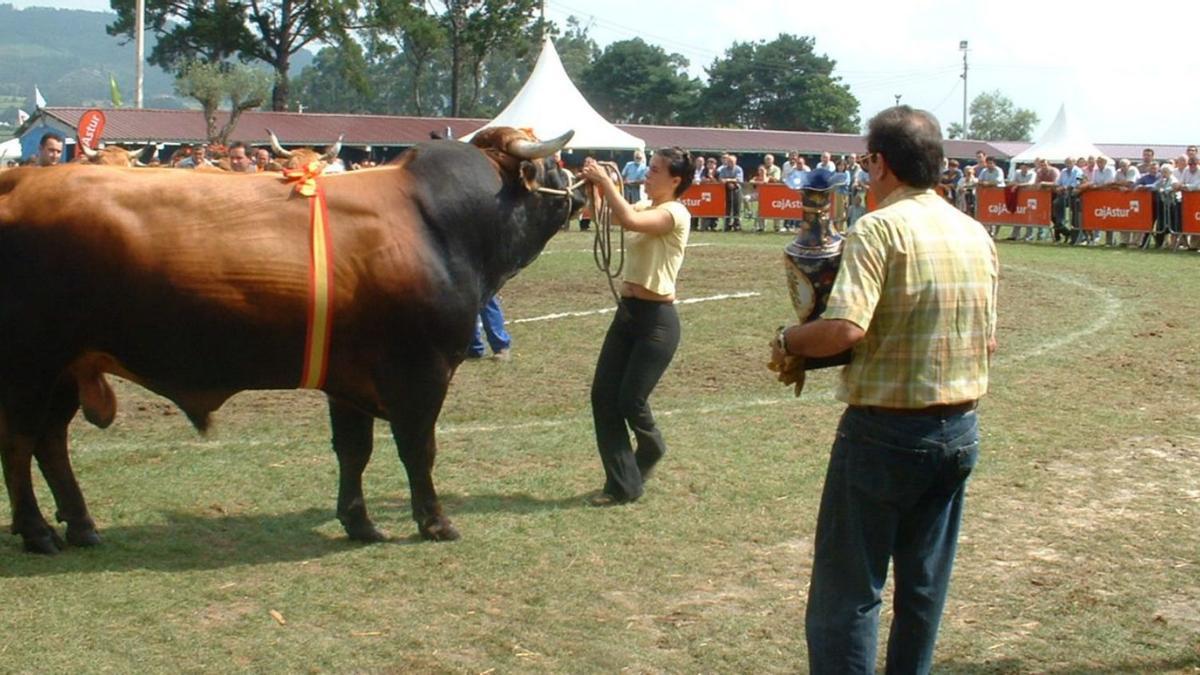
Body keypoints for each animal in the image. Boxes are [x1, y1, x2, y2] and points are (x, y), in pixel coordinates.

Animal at [0, 126, 580, 552]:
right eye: (556, 161)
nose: (579, 186)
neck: (437, 224)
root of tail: (19, 183)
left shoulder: (350, 381)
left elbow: (354, 451)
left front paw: (359, 522)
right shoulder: (421, 372)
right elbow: (419, 449)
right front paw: (435, 522)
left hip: (66, 370)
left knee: (50, 442)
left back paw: (80, 524)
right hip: (31, 363)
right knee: (20, 441)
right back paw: (38, 531)